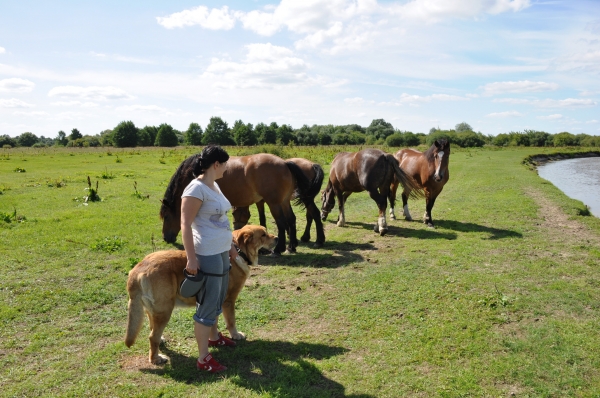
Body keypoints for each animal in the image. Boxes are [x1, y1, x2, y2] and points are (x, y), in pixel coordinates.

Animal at [126, 224, 278, 364]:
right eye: (263, 235)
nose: (277, 238)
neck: (240, 252)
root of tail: (137, 270)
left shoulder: (216, 300)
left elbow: (213, 322)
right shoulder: (229, 301)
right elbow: (231, 321)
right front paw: (235, 335)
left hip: (153, 310)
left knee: (153, 329)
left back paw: (161, 341)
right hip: (165, 310)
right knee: (152, 337)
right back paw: (156, 359)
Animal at [159, 152, 318, 255]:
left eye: (166, 216)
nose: (166, 238)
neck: (195, 171)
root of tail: (285, 163)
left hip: (274, 203)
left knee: (281, 222)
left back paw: (279, 249)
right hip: (284, 202)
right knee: (291, 219)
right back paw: (292, 246)